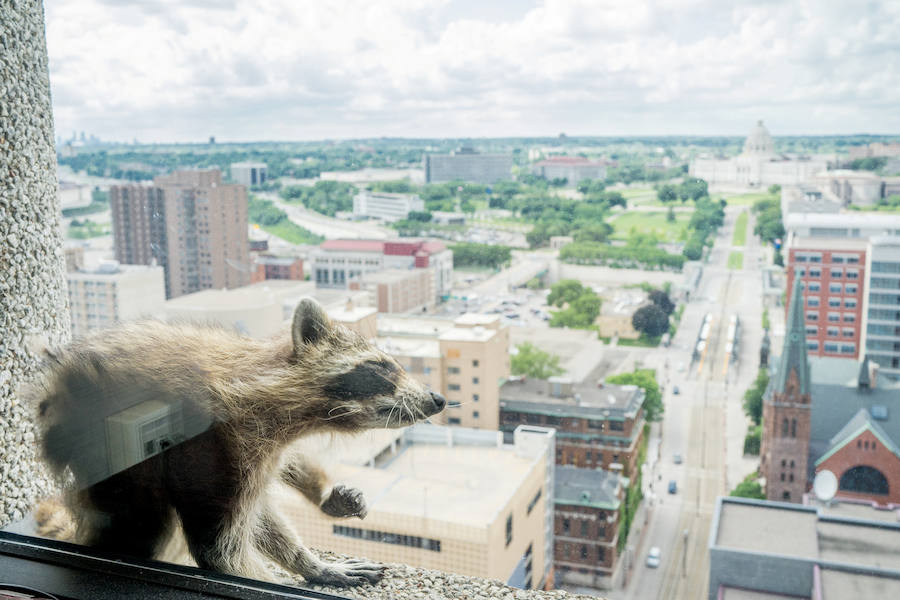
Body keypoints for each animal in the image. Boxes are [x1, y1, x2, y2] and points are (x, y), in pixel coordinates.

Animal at [33, 298, 448, 584]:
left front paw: (311, 555)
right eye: (381, 367)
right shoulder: (216, 442)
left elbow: (264, 510)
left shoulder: (262, 444)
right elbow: (220, 550)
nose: (438, 399)